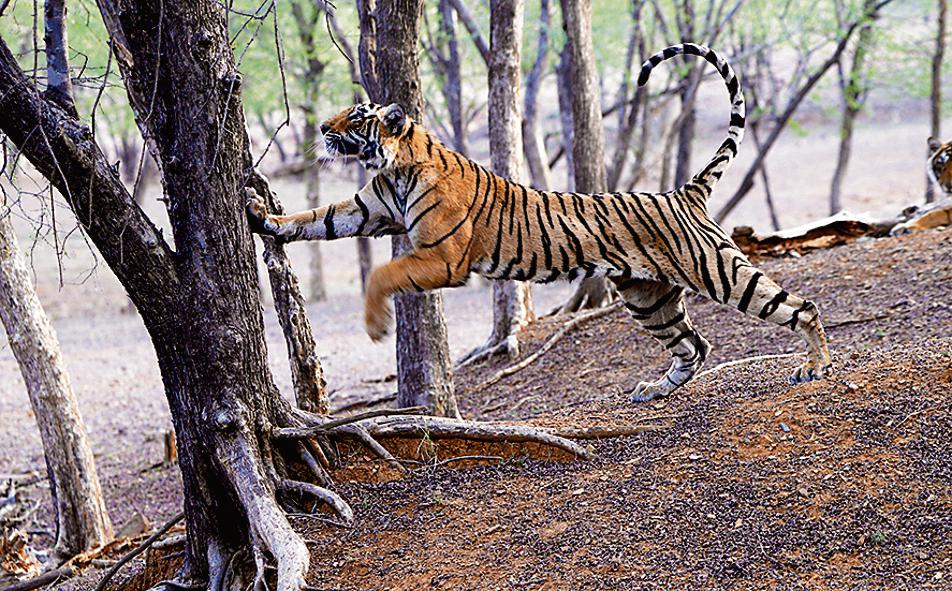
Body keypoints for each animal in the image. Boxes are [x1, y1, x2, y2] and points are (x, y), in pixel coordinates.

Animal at [247, 43, 833, 402]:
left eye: (355, 118)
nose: (321, 128)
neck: (393, 166)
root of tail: (680, 192)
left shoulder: (443, 258)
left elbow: (380, 274)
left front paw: (374, 326)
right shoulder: (368, 210)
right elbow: (314, 219)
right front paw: (260, 215)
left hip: (718, 271)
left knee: (800, 307)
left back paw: (817, 365)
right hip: (647, 296)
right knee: (695, 345)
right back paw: (657, 389)